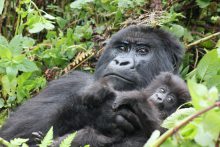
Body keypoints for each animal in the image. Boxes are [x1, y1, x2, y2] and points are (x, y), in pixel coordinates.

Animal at [0, 25, 184, 146]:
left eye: (143, 51)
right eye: (122, 48)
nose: (121, 61)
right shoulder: (68, 82)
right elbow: (11, 135)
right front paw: (98, 113)